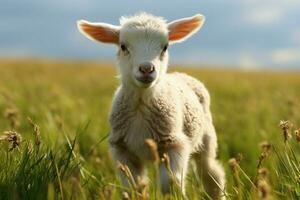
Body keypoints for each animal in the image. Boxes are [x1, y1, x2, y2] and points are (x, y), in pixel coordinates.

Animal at [77, 12, 225, 200]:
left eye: (165, 47)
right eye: (123, 46)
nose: (147, 69)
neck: (141, 102)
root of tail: (181, 74)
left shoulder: (174, 145)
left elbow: (170, 185)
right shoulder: (122, 150)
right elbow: (134, 187)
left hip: (206, 138)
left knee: (211, 174)